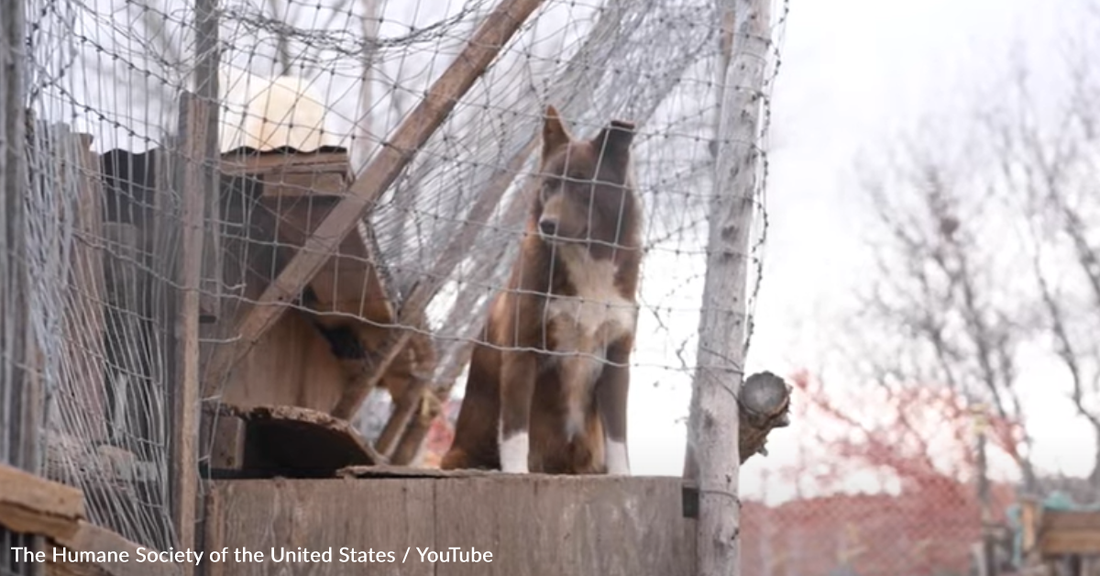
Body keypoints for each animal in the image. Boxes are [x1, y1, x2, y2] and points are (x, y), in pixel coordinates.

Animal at [440, 105, 642, 474]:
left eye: (581, 183)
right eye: (549, 185)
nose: (548, 224)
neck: (586, 263)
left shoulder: (616, 360)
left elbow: (618, 438)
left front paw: (622, 476)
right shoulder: (523, 350)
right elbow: (516, 431)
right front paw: (516, 474)